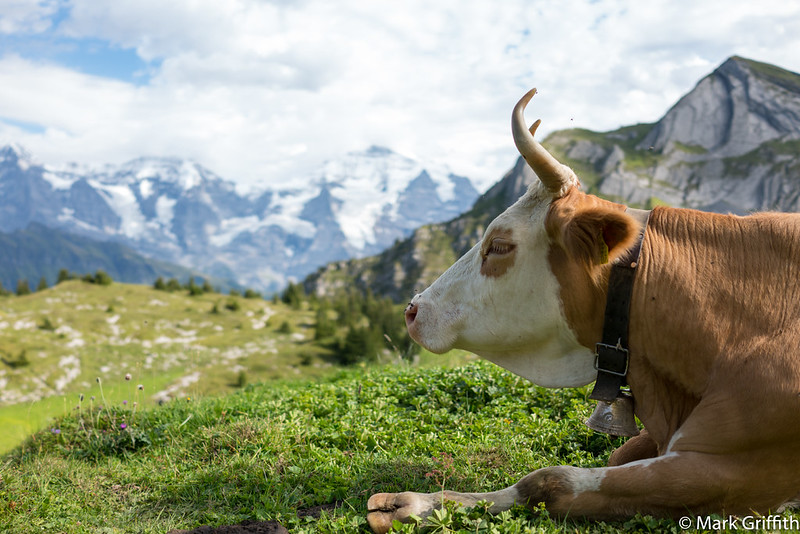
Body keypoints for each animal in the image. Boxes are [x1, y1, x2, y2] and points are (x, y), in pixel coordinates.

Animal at [366, 88, 800, 533]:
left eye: (499, 245)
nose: (413, 310)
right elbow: (615, 453)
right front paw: (416, 502)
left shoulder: (740, 470)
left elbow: (551, 480)